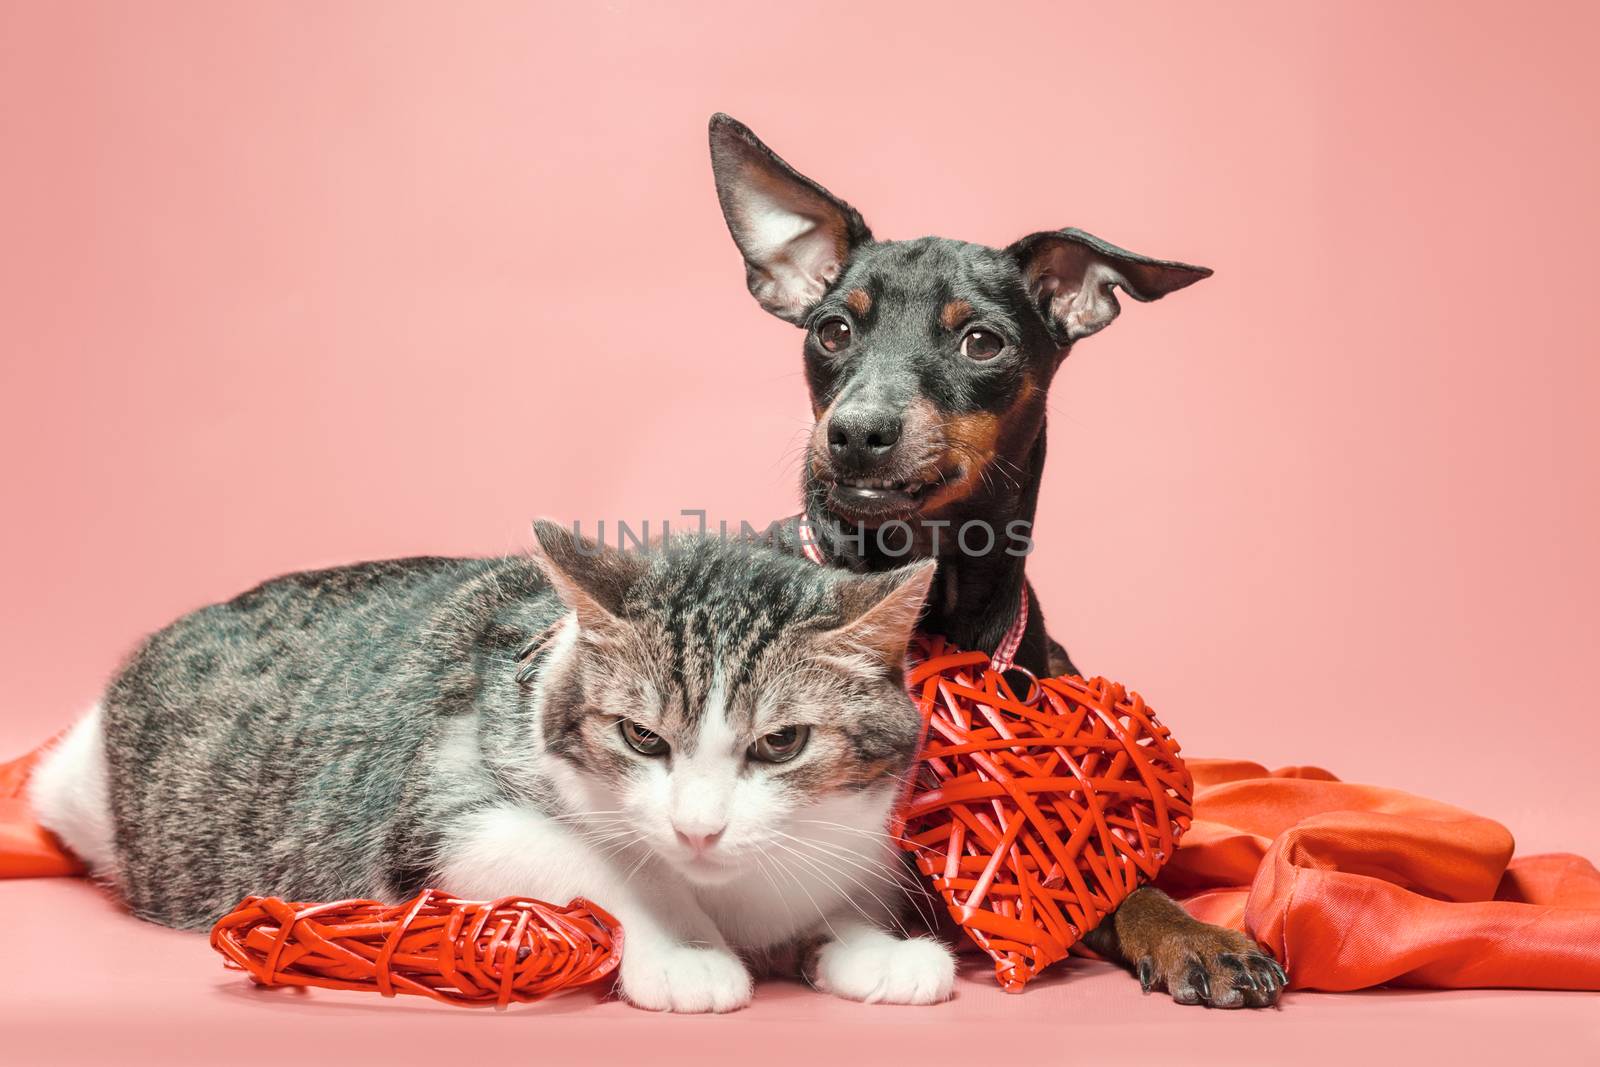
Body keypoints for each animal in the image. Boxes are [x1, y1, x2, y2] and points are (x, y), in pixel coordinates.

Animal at [28, 521, 947, 1017]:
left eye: (781, 743)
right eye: (641, 737)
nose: (698, 827)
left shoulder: (857, 836)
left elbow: (843, 890)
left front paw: (872, 942)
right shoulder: (448, 807)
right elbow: (590, 859)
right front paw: (682, 945)